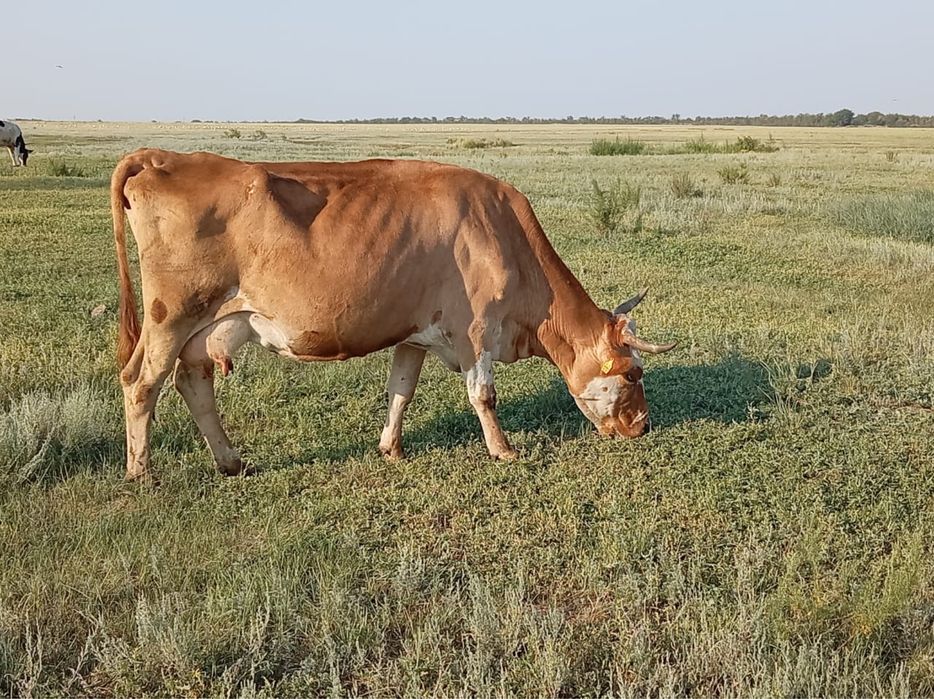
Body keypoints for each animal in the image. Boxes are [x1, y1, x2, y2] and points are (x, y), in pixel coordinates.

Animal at [111, 149, 676, 480]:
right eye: (633, 373)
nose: (644, 426)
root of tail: (163, 157)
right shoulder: (477, 331)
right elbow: (484, 395)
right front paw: (503, 451)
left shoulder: (414, 333)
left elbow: (400, 391)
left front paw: (391, 447)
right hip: (171, 316)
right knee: (141, 383)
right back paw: (141, 473)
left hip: (204, 327)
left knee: (193, 382)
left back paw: (231, 462)